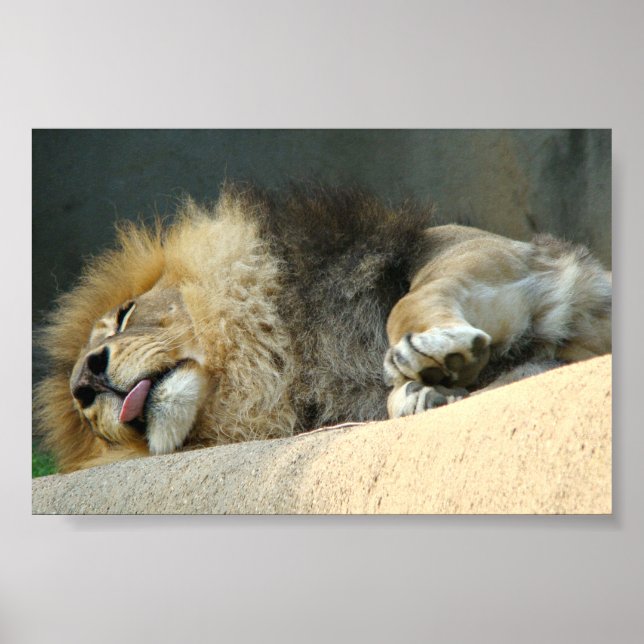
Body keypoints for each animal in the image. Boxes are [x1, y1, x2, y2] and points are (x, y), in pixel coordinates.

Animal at [34, 184, 612, 472]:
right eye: (84, 418)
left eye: (125, 315)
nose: (84, 384)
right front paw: (421, 393)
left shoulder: (491, 252)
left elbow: (408, 302)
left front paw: (426, 351)